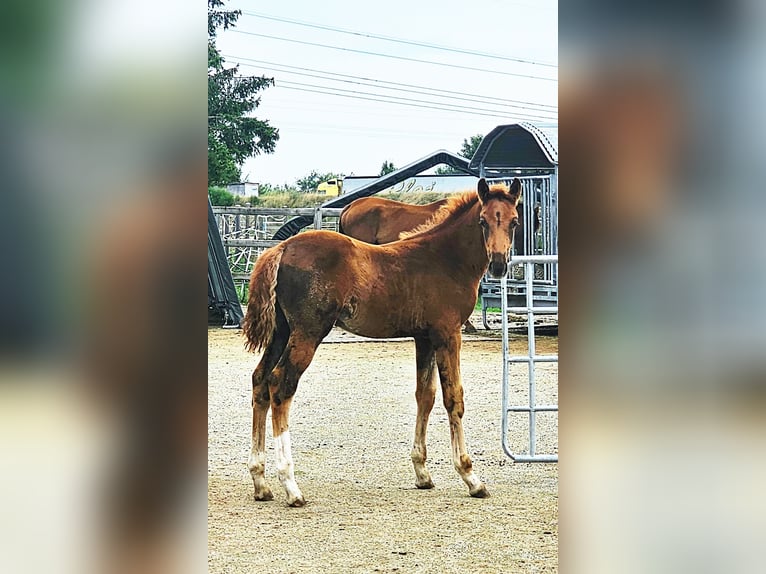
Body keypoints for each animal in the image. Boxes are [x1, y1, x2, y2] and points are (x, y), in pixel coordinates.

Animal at [243, 178, 522, 506]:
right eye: (482, 221)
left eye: (514, 222)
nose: (499, 265)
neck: (444, 259)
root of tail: (282, 248)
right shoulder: (448, 334)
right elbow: (454, 398)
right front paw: (470, 477)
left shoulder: (424, 338)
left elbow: (425, 396)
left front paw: (422, 472)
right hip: (308, 332)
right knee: (280, 384)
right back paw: (290, 485)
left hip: (281, 332)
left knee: (260, 380)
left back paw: (261, 482)